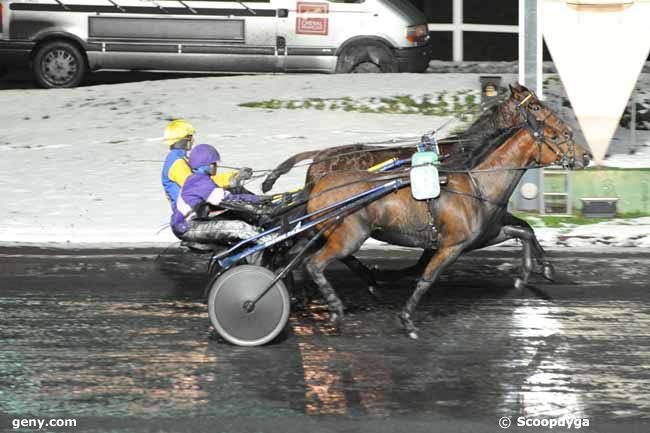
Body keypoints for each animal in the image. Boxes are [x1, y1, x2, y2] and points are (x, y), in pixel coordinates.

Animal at [302, 93, 588, 338]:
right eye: (555, 133)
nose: (585, 156)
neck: (477, 183)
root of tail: (319, 181)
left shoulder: (483, 235)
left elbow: (524, 231)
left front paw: (531, 272)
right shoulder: (452, 245)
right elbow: (426, 278)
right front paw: (407, 319)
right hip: (350, 235)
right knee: (315, 263)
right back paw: (337, 307)